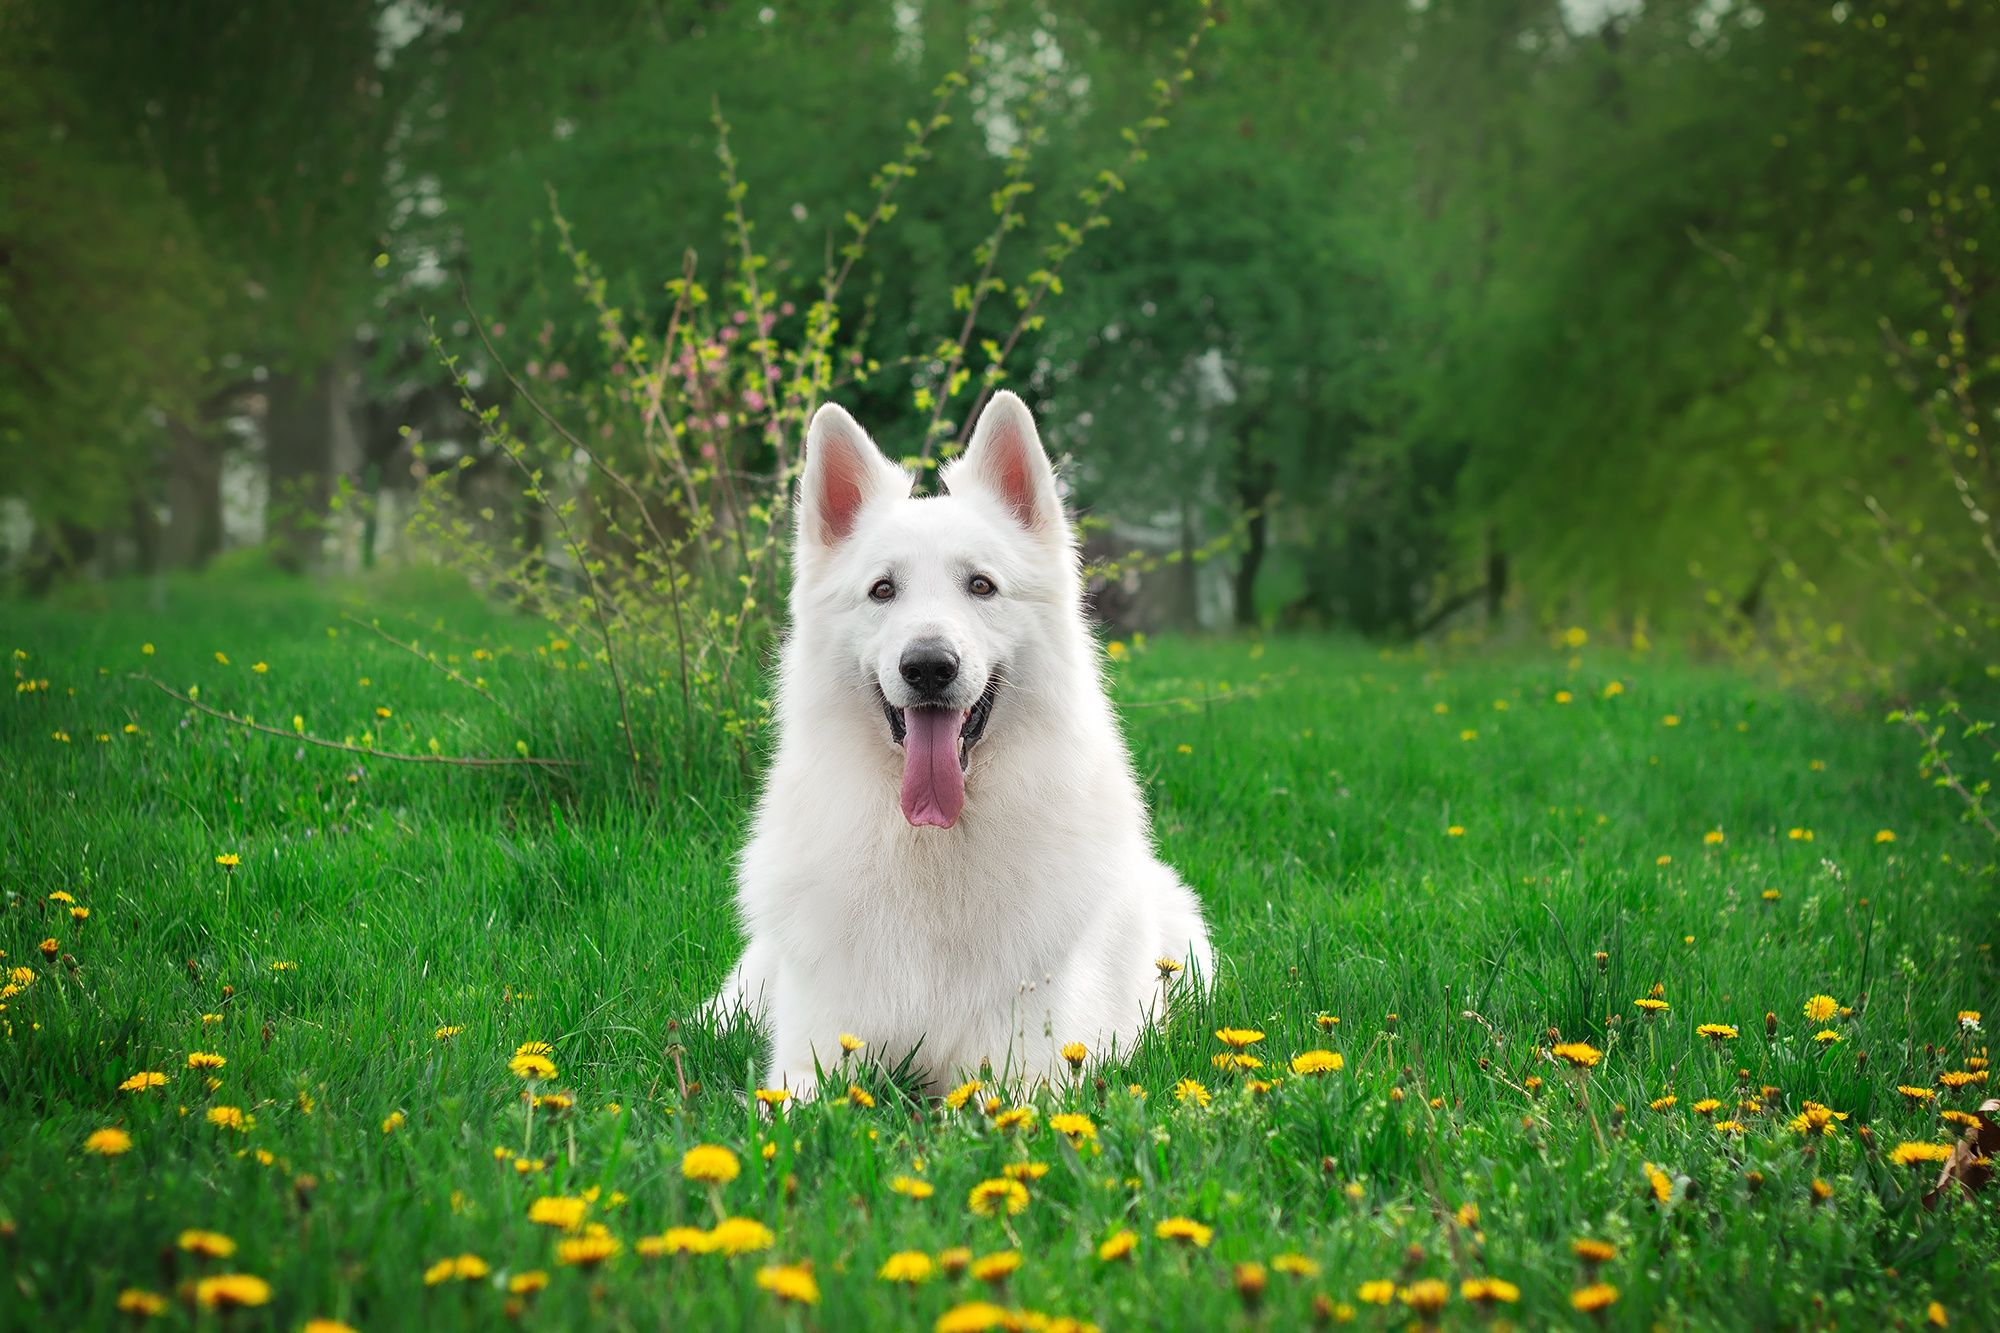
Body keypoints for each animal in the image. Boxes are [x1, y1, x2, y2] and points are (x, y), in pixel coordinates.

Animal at [724, 390, 1216, 1096]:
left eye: (981, 585)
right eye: (882, 590)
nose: (929, 666)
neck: (933, 847)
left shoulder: (1030, 1068)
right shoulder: (807, 1057)